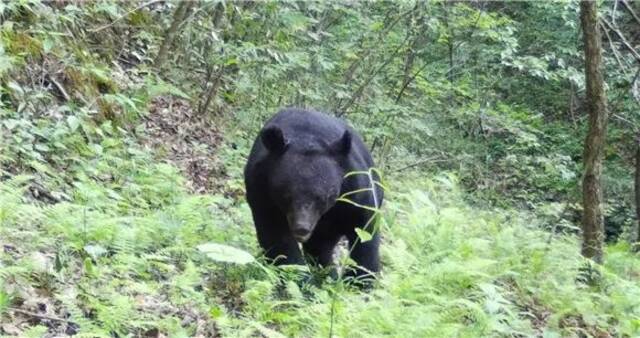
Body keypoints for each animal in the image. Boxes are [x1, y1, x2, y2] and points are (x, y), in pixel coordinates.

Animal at [242, 108, 382, 282]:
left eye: (322, 198)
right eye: (286, 195)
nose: (302, 228)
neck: (307, 139)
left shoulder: (355, 193)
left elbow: (365, 234)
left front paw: (361, 281)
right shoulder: (262, 192)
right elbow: (278, 238)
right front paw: (300, 279)